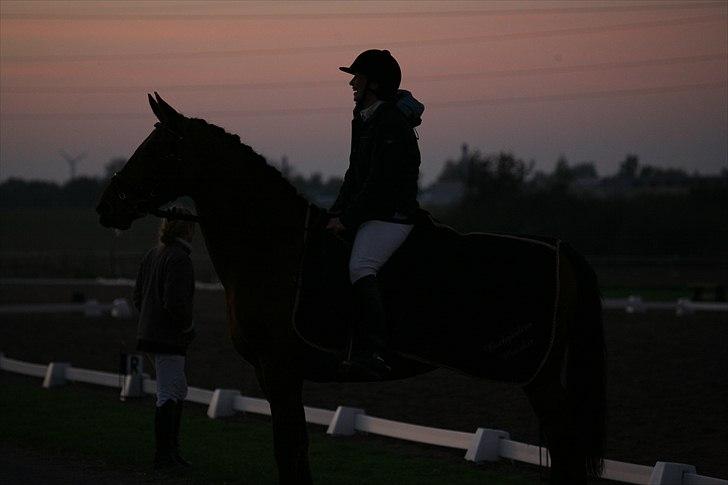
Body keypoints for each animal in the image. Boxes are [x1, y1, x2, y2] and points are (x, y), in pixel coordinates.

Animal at [98, 92, 608, 482]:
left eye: (158, 149)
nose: (107, 206)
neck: (274, 244)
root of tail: (559, 248)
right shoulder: (276, 373)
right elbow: (294, 451)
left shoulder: (278, 369)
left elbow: (290, 451)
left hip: (538, 377)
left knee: (566, 450)